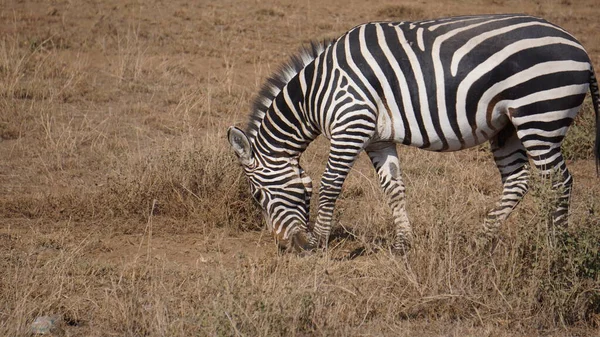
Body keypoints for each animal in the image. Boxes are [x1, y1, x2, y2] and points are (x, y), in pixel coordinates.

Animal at [227, 14, 596, 253]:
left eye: (257, 196)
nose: (288, 246)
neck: (315, 93)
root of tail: (579, 48)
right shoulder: (377, 138)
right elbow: (393, 187)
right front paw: (403, 243)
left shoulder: (350, 125)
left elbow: (330, 184)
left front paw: (319, 242)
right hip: (508, 127)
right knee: (518, 182)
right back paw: (480, 241)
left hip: (540, 114)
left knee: (559, 181)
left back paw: (554, 251)